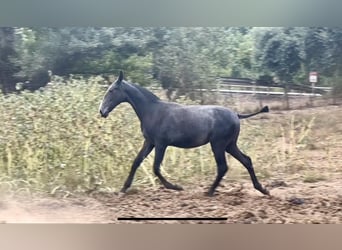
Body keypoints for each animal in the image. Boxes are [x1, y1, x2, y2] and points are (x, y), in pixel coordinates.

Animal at [99, 71, 270, 197]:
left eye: (112, 90)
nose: (102, 111)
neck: (152, 111)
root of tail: (236, 114)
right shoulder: (149, 142)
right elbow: (136, 162)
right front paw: (123, 189)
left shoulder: (161, 144)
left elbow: (155, 168)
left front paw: (175, 187)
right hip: (229, 145)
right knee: (246, 160)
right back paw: (262, 189)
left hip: (218, 145)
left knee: (223, 167)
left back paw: (209, 191)